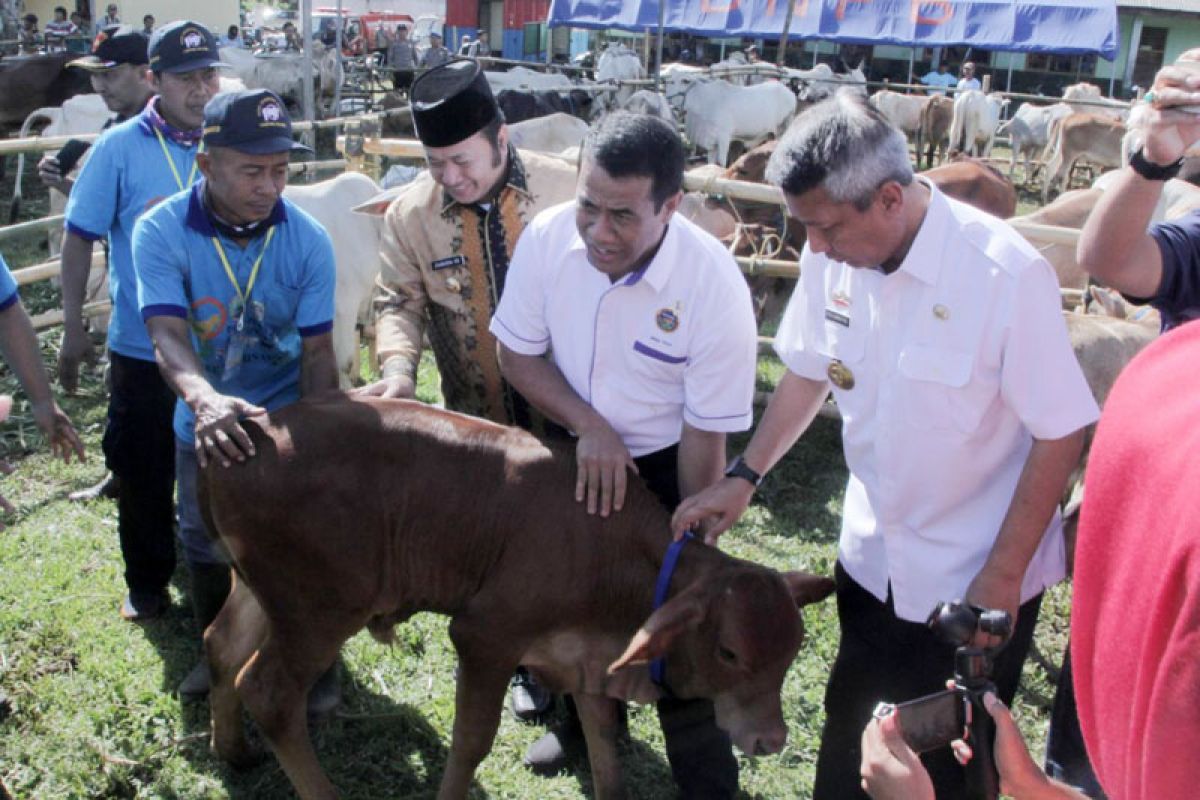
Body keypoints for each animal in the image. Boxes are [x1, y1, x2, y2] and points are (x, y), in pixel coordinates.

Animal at [199, 398, 835, 800]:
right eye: (729, 653)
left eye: (791, 653)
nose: (771, 739)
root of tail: (255, 433)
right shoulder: (484, 637)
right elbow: (470, 743)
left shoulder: (589, 658)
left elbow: (604, 744)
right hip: (318, 611)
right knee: (270, 691)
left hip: (262, 593)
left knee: (222, 646)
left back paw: (232, 750)